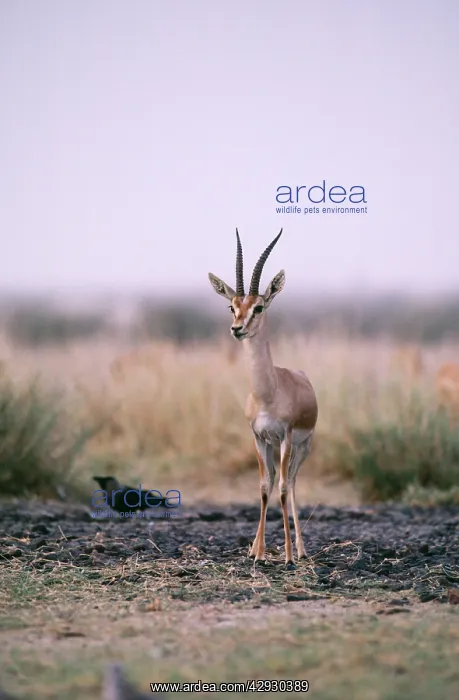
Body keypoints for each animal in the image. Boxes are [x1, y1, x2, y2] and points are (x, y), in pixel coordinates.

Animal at [208, 229, 318, 569]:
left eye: (258, 307)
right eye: (232, 306)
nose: (236, 329)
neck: (268, 394)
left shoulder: (285, 437)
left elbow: (281, 489)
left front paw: (287, 556)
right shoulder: (258, 437)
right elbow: (263, 488)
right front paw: (256, 551)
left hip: (301, 447)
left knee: (291, 483)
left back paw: (300, 550)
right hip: (273, 447)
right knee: (276, 481)